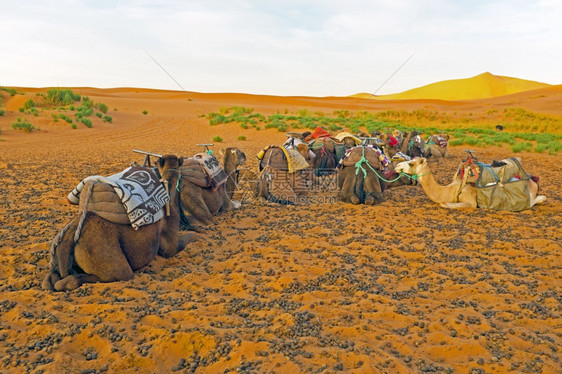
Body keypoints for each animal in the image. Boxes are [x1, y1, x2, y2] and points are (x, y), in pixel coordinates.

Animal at [392, 157, 544, 210]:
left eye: (411, 163)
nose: (397, 166)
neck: (451, 190)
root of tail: (532, 180)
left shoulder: (470, 201)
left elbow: (444, 204)